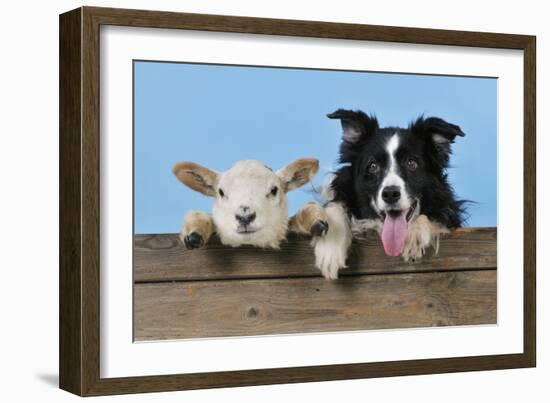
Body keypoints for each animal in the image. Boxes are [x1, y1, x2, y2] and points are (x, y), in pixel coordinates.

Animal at [316, 109, 468, 280]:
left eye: (412, 163)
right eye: (373, 166)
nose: (390, 194)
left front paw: (413, 236)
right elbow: (336, 205)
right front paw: (330, 252)